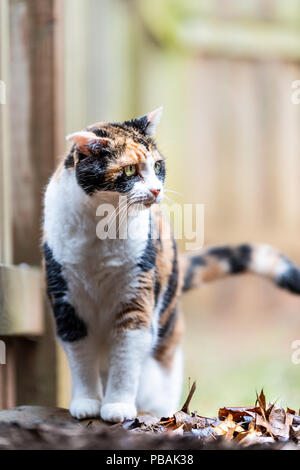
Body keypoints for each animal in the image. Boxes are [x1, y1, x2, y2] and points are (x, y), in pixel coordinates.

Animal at [43, 108, 300, 424]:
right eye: (130, 170)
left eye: (157, 165)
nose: (156, 189)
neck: (98, 230)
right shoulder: (65, 304)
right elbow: (81, 360)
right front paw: (86, 403)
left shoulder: (137, 298)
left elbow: (126, 360)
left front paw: (117, 406)